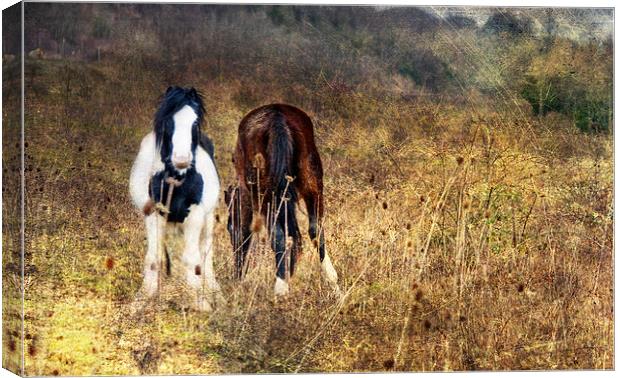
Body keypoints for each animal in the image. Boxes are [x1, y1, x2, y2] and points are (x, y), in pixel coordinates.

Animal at [128, 87, 220, 312]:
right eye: (168, 121)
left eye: (195, 123)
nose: (181, 160)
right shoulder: (154, 215)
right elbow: (154, 259)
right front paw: (141, 300)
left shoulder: (195, 216)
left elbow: (193, 259)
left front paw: (201, 303)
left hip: (208, 218)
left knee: (206, 253)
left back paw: (215, 292)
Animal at [224, 103, 340, 296]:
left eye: (230, 228)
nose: (237, 273)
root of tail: (277, 117)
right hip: (312, 185)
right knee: (315, 230)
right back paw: (335, 288)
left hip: (265, 196)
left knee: (281, 237)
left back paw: (280, 290)